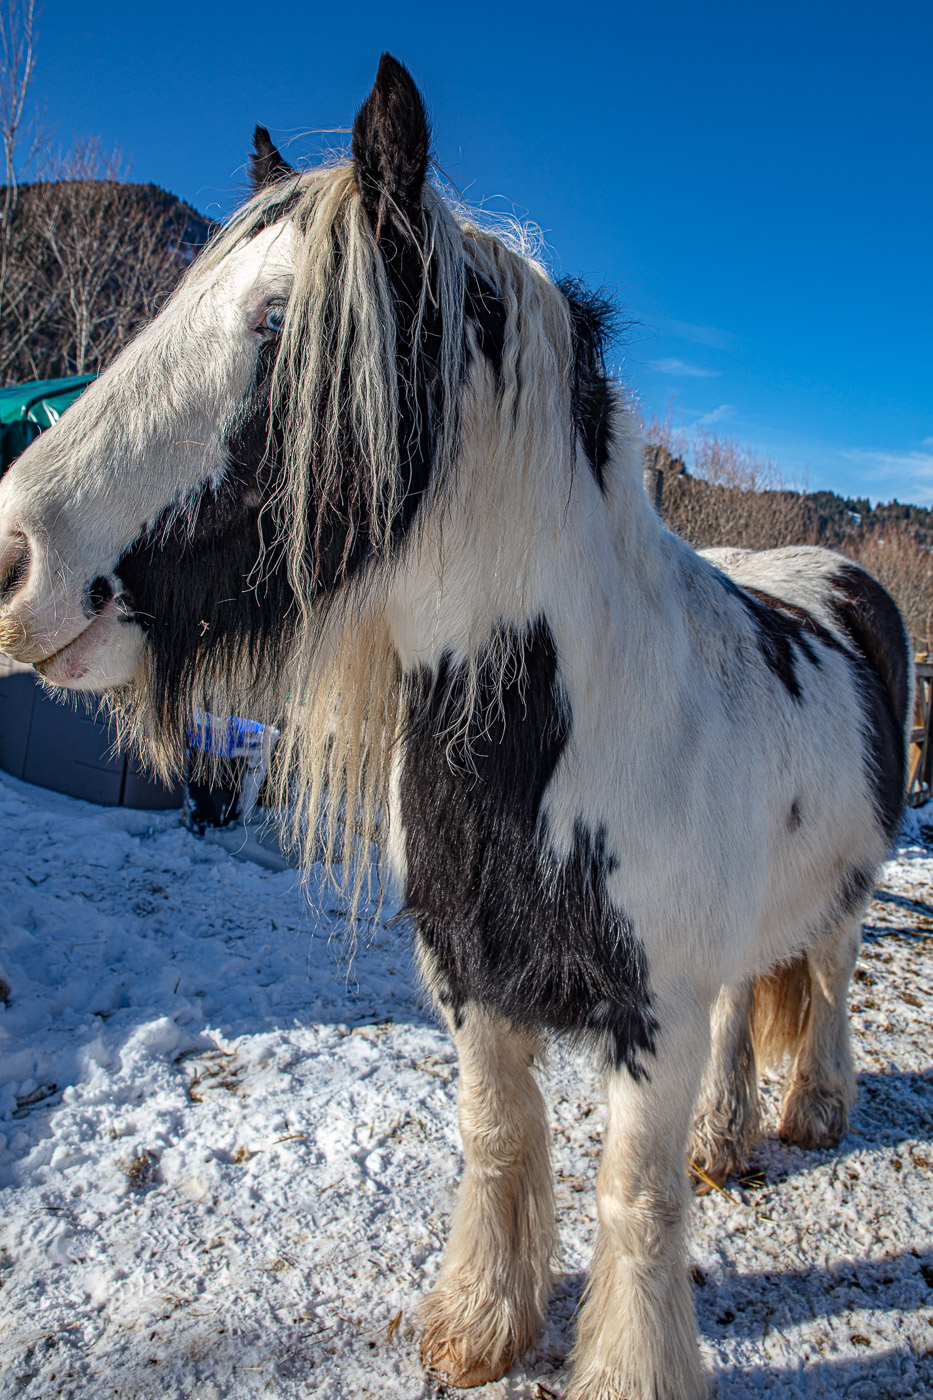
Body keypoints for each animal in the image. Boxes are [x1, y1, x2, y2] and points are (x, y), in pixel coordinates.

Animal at [0, 54, 907, 1400]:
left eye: (277, 322)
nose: (15, 557)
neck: (551, 741)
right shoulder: (472, 984)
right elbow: (497, 1138)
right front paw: (481, 1324)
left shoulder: (653, 1014)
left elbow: (635, 1200)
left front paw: (626, 1367)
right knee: (753, 1006)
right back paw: (730, 1137)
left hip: (839, 901)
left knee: (829, 987)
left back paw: (812, 1113)